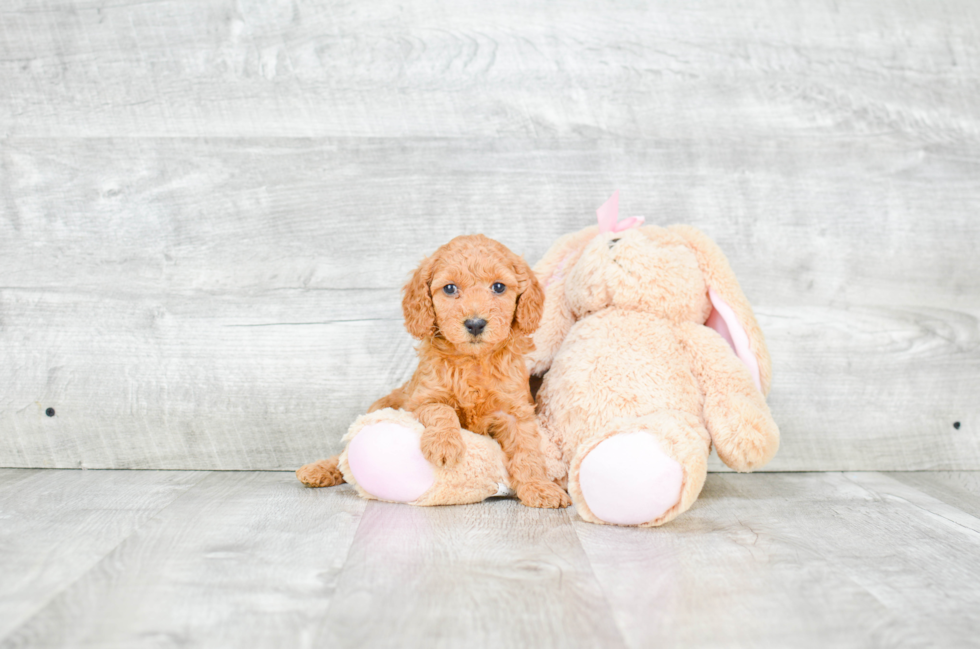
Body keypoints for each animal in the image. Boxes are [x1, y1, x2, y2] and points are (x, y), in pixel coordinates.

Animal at [298, 235, 576, 508]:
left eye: (498, 287)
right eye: (450, 288)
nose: (475, 324)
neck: (473, 361)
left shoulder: (515, 412)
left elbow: (527, 452)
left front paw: (538, 487)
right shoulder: (420, 401)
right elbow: (442, 410)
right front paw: (444, 445)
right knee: (343, 454)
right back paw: (318, 470)